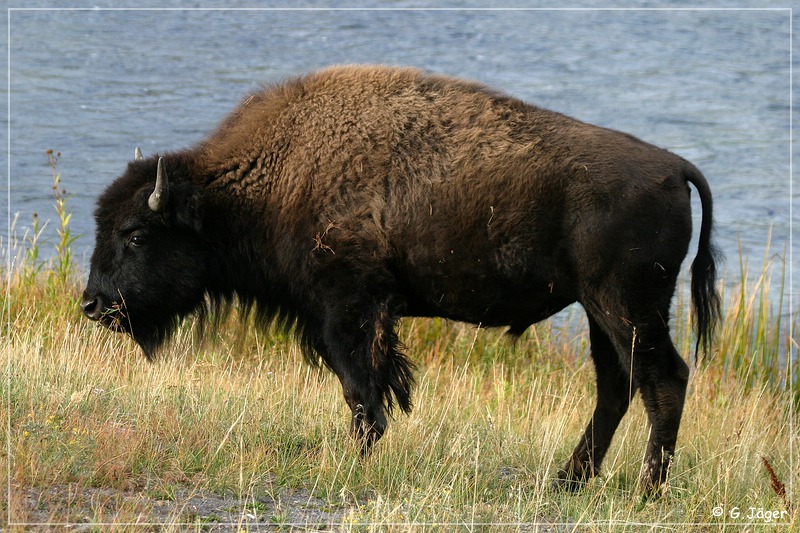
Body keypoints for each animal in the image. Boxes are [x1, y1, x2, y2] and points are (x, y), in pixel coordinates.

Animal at [81, 63, 720, 494]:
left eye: (135, 235)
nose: (92, 304)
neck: (258, 185)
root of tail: (674, 168)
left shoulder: (348, 309)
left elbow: (361, 390)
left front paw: (359, 459)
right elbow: (368, 388)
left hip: (626, 305)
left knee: (663, 380)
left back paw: (645, 491)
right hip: (597, 311)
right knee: (617, 386)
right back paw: (570, 481)